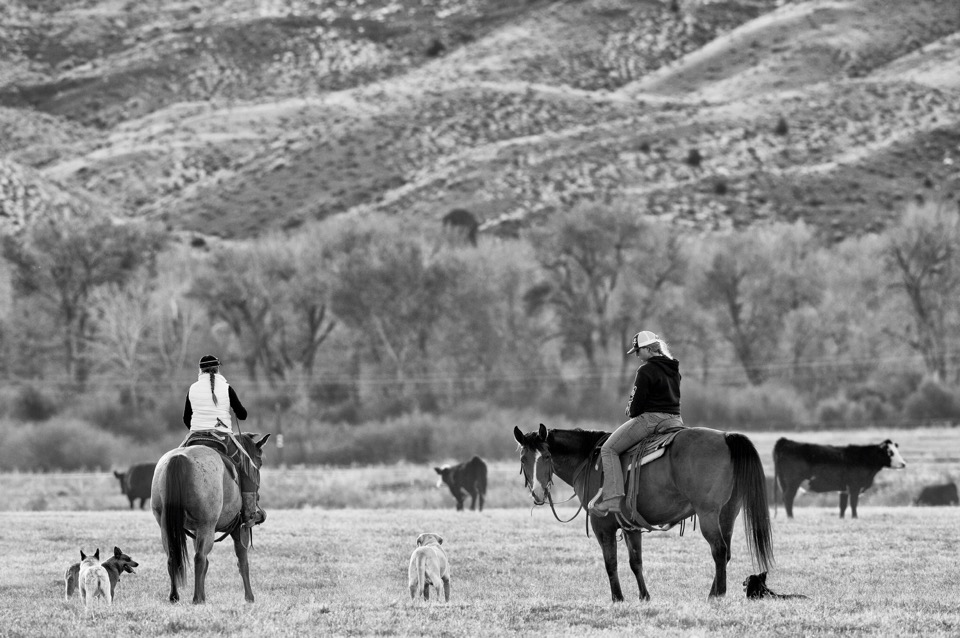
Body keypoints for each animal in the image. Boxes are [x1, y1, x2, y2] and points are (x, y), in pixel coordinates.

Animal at [151, 430, 270, 604]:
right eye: (259, 461)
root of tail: (179, 458)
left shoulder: (195, 531)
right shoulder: (239, 529)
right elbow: (243, 562)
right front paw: (249, 597)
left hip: (167, 527)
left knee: (173, 557)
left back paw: (175, 596)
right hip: (207, 526)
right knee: (199, 558)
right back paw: (196, 598)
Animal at [510, 428, 772, 604]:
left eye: (546, 456)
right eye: (523, 458)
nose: (537, 493)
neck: (588, 460)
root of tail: (726, 436)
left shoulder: (602, 525)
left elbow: (611, 562)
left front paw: (618, 598)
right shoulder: (630, 527)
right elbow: (635, 561)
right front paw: (644, 596)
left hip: (708, 513)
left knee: (718, 550)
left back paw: (717, 596)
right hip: (728, 512)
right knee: (725, 552)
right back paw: (713, 592)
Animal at [772, 440, 908, 520]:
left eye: (897, 451)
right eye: (890, 452)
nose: (903, 464)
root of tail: (785, 442)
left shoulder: (844, 489)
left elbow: (843, 505)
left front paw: (842, 518)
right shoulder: (854, 486)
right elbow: (853, 503)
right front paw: (855, 517)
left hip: (784, 482)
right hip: (793, 482)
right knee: (788, 498)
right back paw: (791, 517)